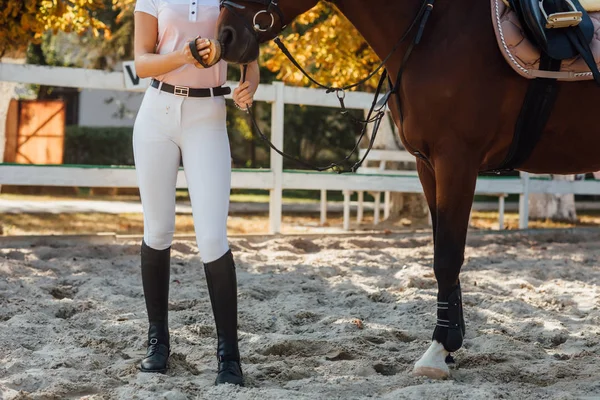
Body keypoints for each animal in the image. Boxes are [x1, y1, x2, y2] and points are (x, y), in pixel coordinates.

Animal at [213, 0, 600, 378]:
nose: (225, 35)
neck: (434, 30)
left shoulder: (456, 160)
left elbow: (447, 257)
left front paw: (439, 350)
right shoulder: (428, 165)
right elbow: (442, 251)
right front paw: (449, 345)